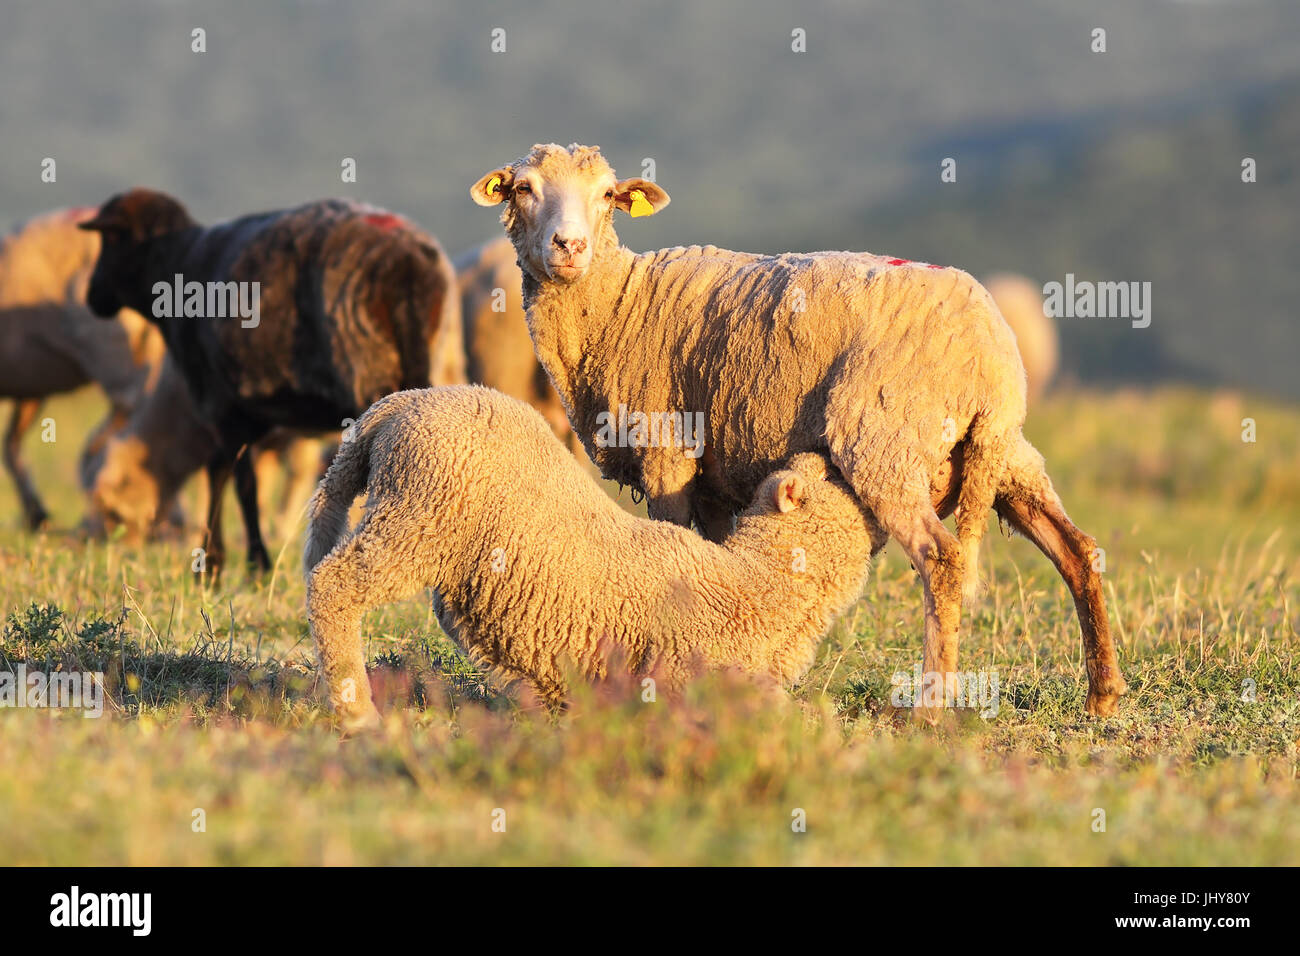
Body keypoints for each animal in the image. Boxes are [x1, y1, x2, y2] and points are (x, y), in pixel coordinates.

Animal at [79, 189, 463, 578]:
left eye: (109, 240)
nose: (92, 296)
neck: (176, 262)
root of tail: (409, 263)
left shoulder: (222, 403)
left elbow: (237, 479)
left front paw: (240, 564)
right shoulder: (255, 416)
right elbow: (228, 472)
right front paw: (221, 562)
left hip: (367, 368)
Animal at [303, 385, 882, 728]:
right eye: (832, 476)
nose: (827, 450)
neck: (757, 587)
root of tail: (399, 405)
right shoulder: (684, 676)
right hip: (419, 516)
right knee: (332, 587)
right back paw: (356, 712)